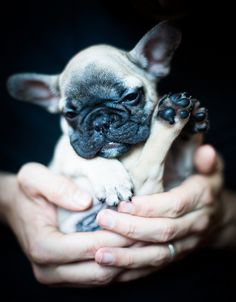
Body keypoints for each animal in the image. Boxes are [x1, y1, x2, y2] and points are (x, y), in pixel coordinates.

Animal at [6, 21, 208, 234]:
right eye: (70, 114)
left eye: (131, 97)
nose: (100, 122)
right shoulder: (65, 151)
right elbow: (84, 156)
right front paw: (112, 180)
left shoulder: (180, 177)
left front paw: (191, 122)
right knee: (151, 164)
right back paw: (171, 113)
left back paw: (185, 118)